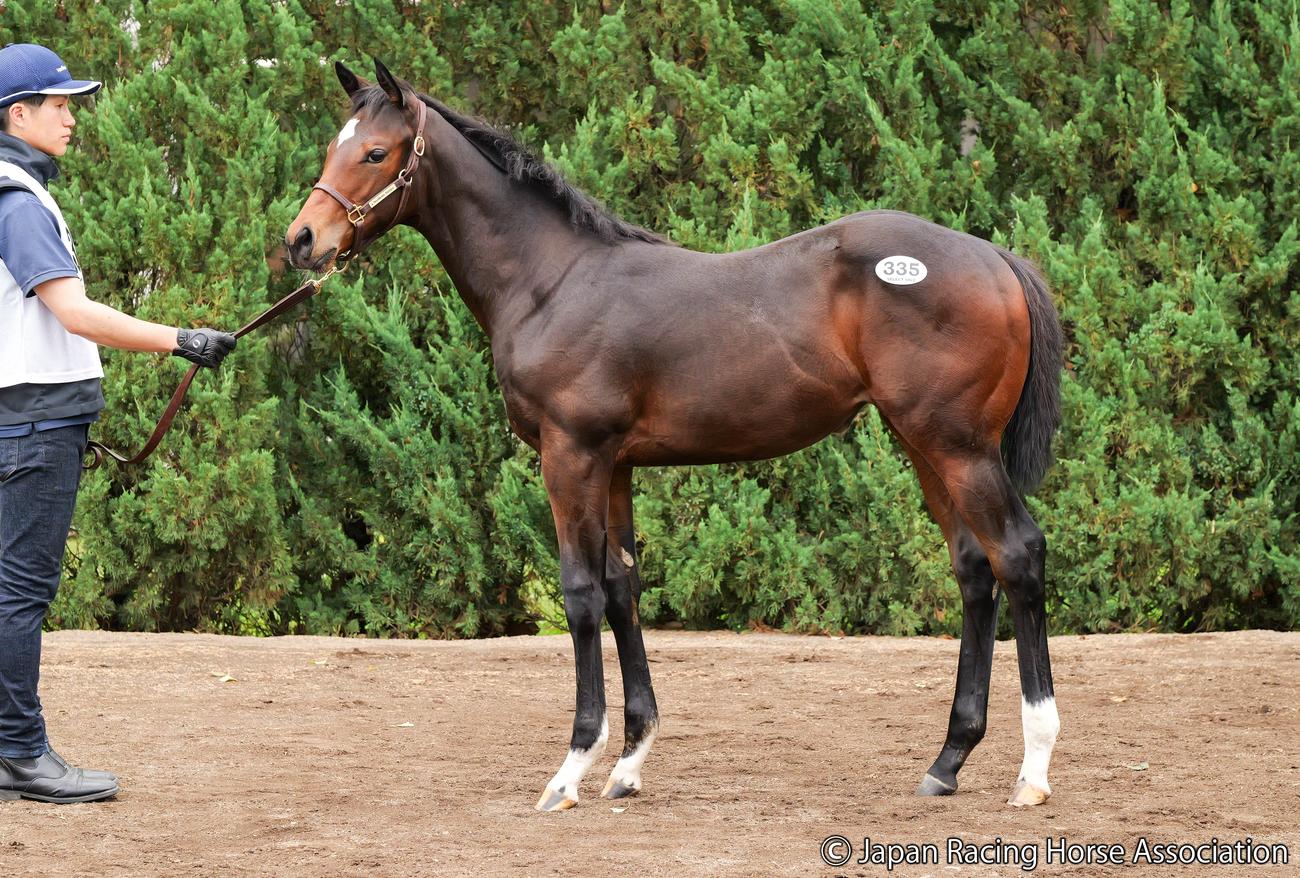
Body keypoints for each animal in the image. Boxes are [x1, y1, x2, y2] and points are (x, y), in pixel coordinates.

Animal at [285, 58, 1065, 812]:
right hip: (923, 445)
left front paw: (572, 768)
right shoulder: (616, 466)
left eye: (377, 152)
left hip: (958, 447)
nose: (302, 241)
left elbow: (579, 593)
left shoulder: (570, 457)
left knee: (1018, 554)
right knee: (974, 568)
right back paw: (947, 761)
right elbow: (621, 587)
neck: (552, 282)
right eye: (333, 146)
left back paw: (1032, 769)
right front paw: (629, 764)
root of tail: (995, 258)